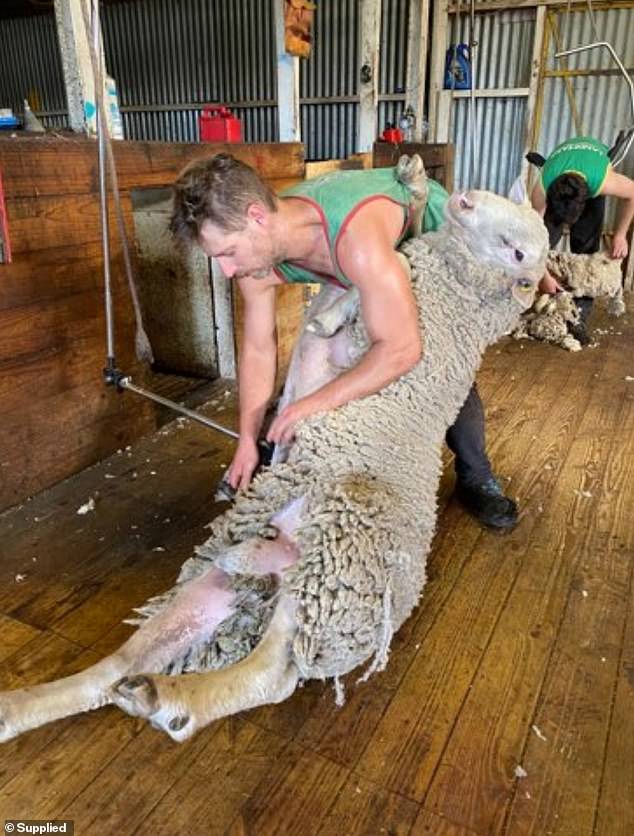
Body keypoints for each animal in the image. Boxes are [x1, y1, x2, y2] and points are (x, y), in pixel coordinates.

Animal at [0, 180, 544, 740]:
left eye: (519, 252)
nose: (463, 198)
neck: (457, 292)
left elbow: (376, 291)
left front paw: (330, 314)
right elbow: (371, 269)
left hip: (331, 575)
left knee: (273, 673)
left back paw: (171, 703)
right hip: (228, 579)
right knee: (118, 668)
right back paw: (25, 708)